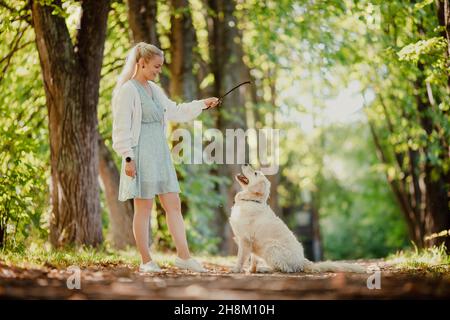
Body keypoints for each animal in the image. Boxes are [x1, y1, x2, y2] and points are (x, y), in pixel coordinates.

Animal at [229, 165, 366, 272]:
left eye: (255, 173)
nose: (245, 163)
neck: (251, 200)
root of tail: (302, 261)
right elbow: (253, 259)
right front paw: (251, 270)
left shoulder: (245, 239)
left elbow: (241, 258)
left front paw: (236, 269)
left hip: (271, 247)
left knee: (283, 269)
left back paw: (265, 269)